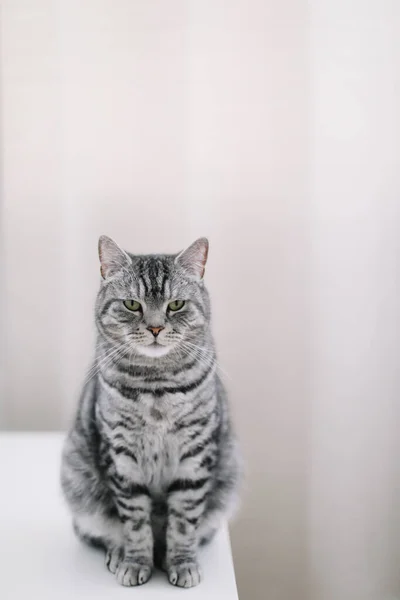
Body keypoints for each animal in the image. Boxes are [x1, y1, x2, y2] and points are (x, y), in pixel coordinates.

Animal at [60, 237, 241, 588]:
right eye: (132, 304)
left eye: (176, 305)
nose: (156, 328)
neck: (156, 387)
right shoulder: (121, 454)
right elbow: (134, 523)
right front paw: (135, 562)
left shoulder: (196, 451)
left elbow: (183, 522)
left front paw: (182, 563)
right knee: (108, 530)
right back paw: (119, 553)